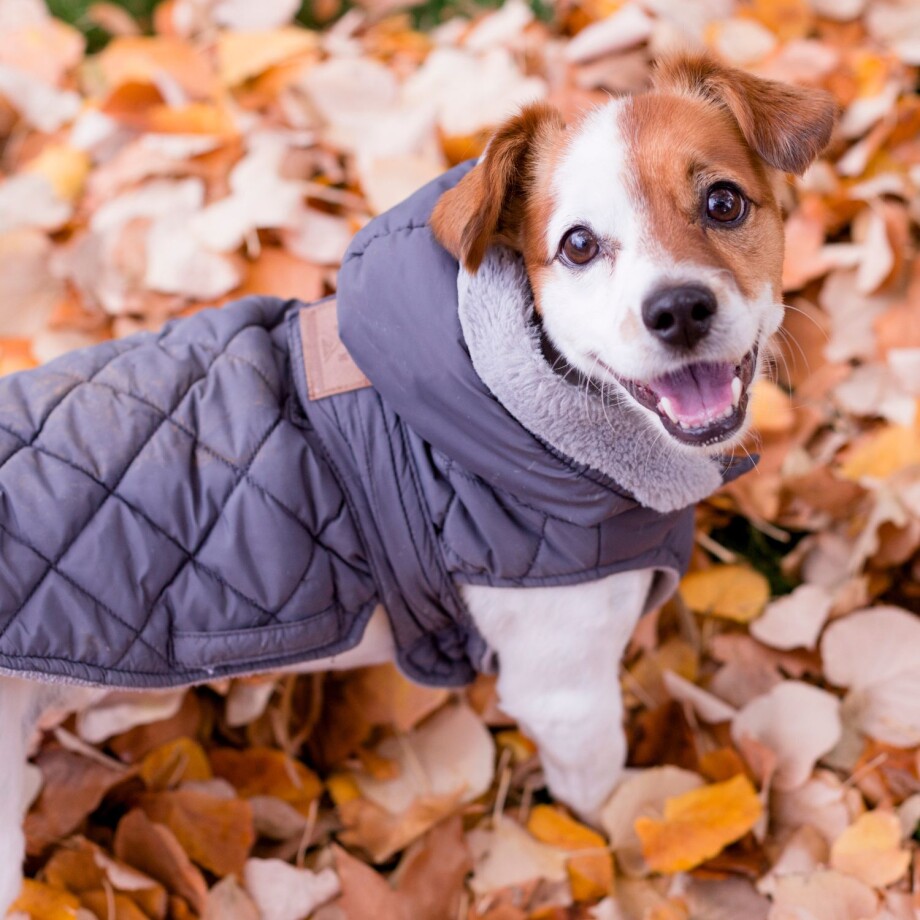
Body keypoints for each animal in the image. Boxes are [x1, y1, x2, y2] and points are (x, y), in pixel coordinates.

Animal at [0, 52, 832, 912]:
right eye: (577, 246)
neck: (504, 406)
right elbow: (603, 807)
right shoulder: (565, 696)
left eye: (723, 201)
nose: (678, 310)